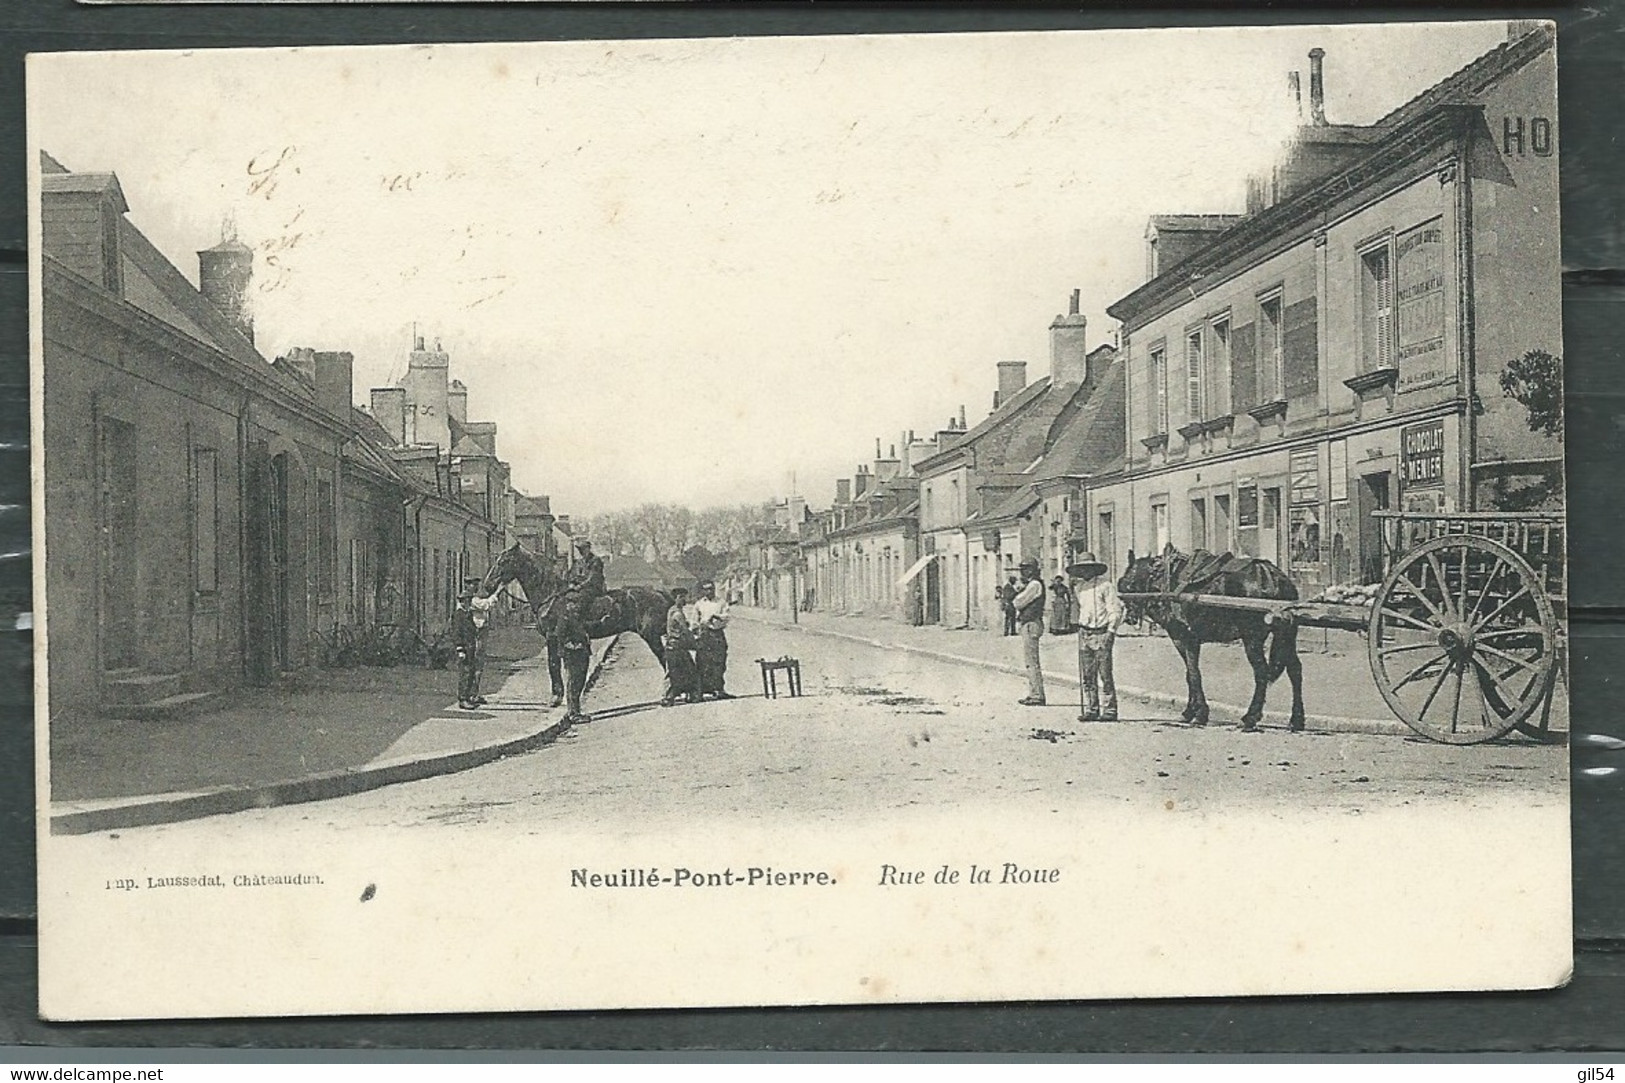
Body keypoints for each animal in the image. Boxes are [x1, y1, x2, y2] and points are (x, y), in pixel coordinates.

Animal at [477, 543, 669, 705]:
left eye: (503, 561)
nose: (487, 585)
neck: (549, 596)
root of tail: (659, 593)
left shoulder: (552, 636)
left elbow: (553, 663)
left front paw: (556, 697)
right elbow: (554, 664)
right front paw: (558, 695)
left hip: (651, 635)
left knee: (665, 659)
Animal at [1118, 543, 1306, 728]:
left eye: (1126, 583)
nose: (1128, 618)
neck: (1163, 578)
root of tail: (1272, 577)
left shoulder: (1184, 636)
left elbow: (1193, 674)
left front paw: (1199, 713)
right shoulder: (1185, 638)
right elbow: (1190, 674)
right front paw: (1191, 711)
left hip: (1252, 637)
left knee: (1261, 672)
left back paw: (1250, 718)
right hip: (1285, 634)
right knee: (1294, 669)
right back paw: (1296, 719)